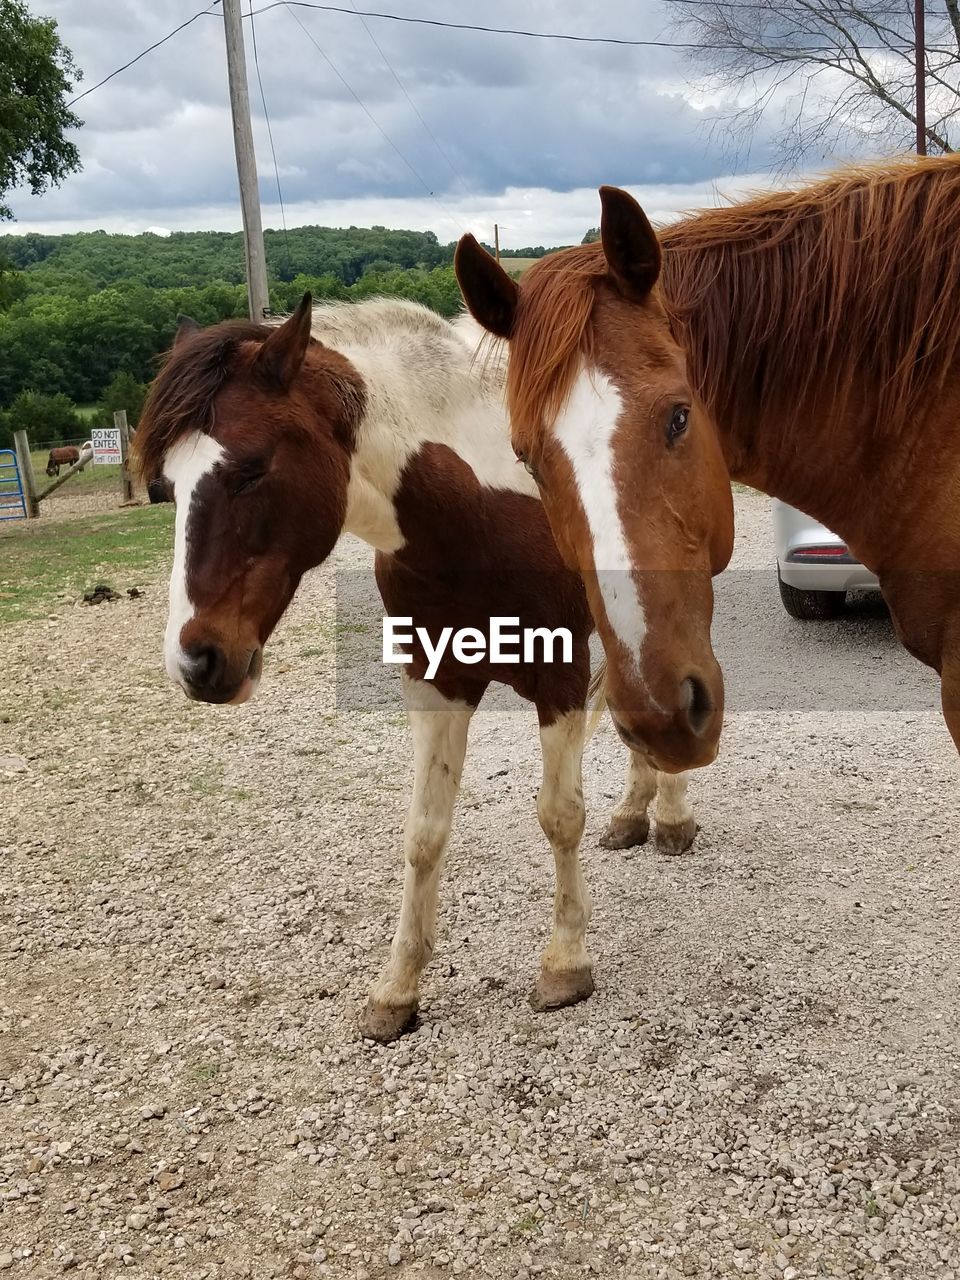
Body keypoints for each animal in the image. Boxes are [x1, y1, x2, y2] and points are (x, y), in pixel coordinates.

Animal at [133, 296, 721, 1039]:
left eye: (253, 468)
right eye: (165, 486)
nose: (196, 660)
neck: (476, 507)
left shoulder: (558, 670)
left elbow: (560, 815)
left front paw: (565, 963)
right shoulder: (437, 679)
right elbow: (424, 832)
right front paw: (397, 988)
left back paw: (668, 815)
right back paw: (632, 812)